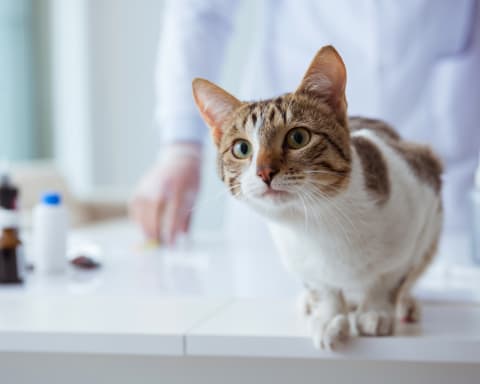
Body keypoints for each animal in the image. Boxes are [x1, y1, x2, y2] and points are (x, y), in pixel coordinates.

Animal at [191, 45, 442, 352]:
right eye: (241, 148)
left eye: (298, 137)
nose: (264, 171)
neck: (320, 220)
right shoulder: (299, 260)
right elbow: (323, 286)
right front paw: (330, 316)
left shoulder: (423, 193)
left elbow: (391, 276)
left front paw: (376, 310)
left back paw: (404, 304)